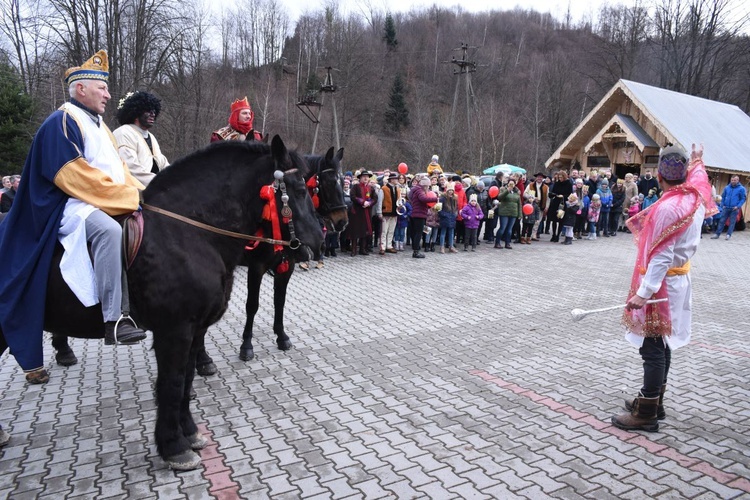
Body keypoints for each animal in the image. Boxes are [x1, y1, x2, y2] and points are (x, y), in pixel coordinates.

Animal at [0, 136, 324, 468]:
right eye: (299, 190)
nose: (318, 242)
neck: (187, 232)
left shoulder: (194, 330)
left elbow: (186, 381)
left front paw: (189, 432)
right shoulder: (175, 331)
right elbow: (172, 383)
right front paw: (173, 446)